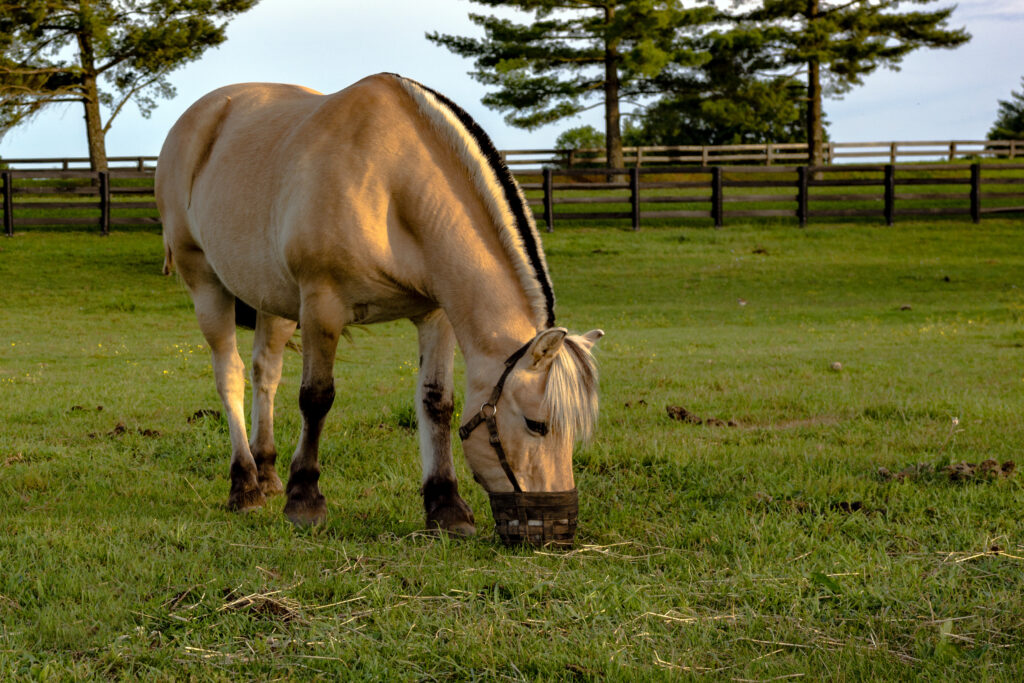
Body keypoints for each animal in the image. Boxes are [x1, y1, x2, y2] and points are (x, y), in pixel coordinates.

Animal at [155, 73, 603, 545]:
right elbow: (316, 398)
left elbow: (436, 402)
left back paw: (267, 472)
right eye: (537, 424)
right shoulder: (322, 308)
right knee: (230, 374)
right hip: (205, 283)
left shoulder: (435, 316)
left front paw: (446, 506)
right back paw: (244, 485)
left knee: (265, 374)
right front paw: (305, 501)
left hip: (273, 302)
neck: (392, 184)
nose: (559, 527)